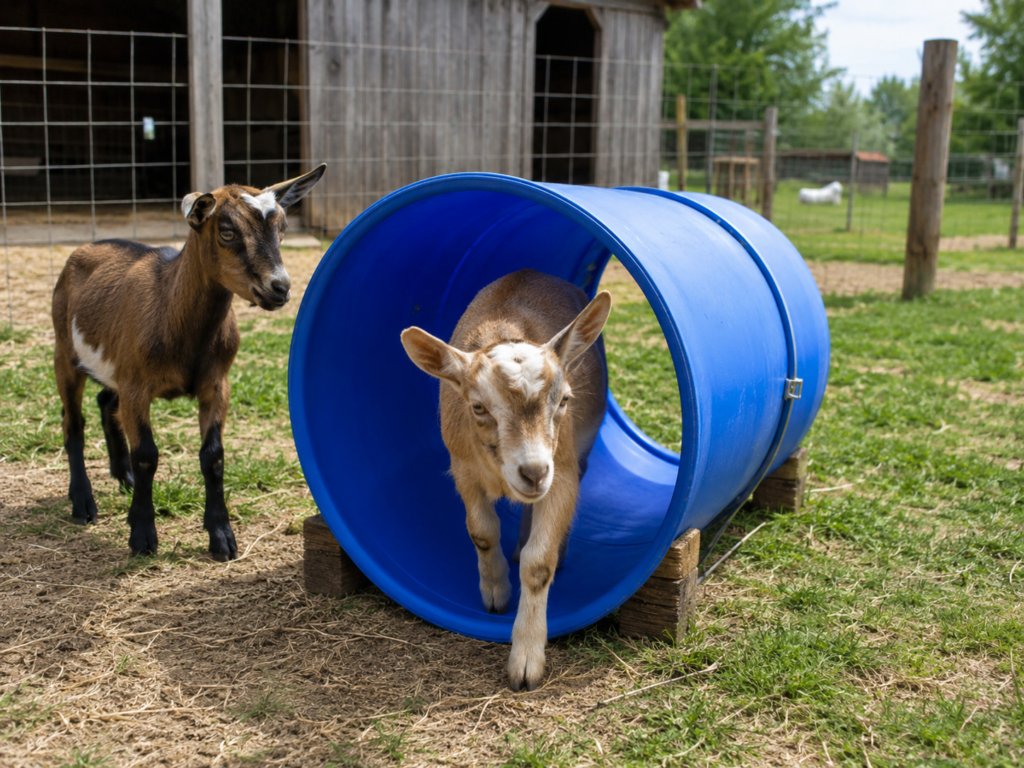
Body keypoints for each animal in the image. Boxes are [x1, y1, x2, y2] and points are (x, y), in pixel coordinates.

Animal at [51, 164, 326, 560]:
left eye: (282, 228)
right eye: (227, 232)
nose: (280, 287)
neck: (172, 310)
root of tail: (88, 247)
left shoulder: (216, 383)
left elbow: (213, 456)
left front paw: (222, 537)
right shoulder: (137, 387)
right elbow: (146, 455)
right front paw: (142, 536)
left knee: (106, 402)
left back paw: (123, 478)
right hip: (65, 352)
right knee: (73, 423)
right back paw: (83, 503)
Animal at [401, 269, 612, 691]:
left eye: (564, 399)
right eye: (478, 407)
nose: (533, 472)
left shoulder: (562, 473)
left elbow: (539, 563)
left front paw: (526, 661)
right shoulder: (463, 469)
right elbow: (482, 532)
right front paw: (495, 592)